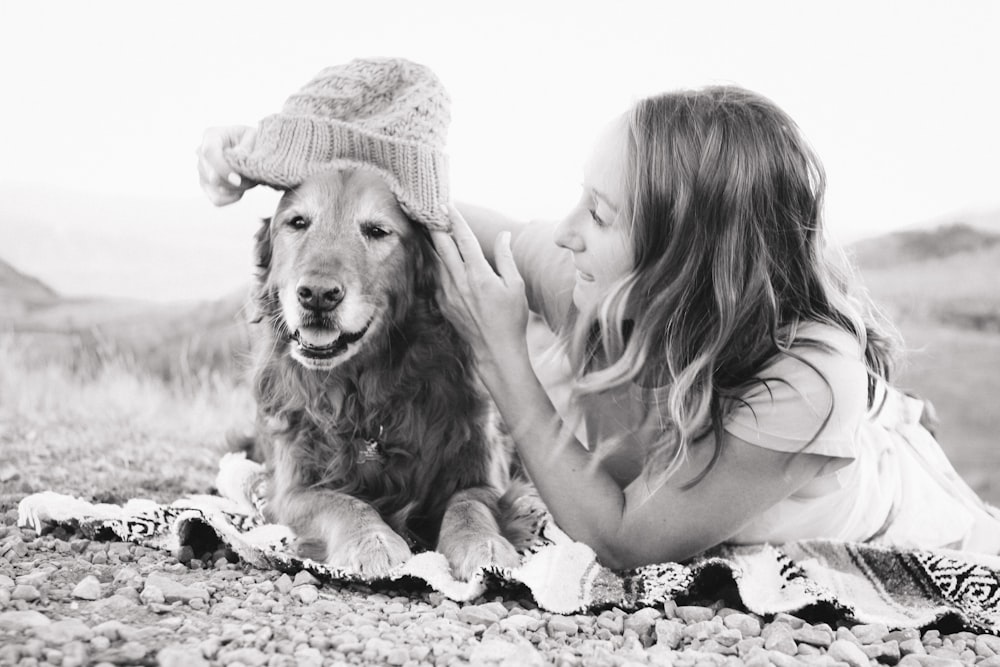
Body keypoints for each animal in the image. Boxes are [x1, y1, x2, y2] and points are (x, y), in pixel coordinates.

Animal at [244, 167, 524, 580]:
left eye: (377, 231)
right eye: (297, 223)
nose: (317, 294)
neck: (367, 394)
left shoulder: (484, 470)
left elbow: (470, 503)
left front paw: (484, 545)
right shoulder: (290, 490)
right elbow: (341, 501)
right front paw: (372, 540)